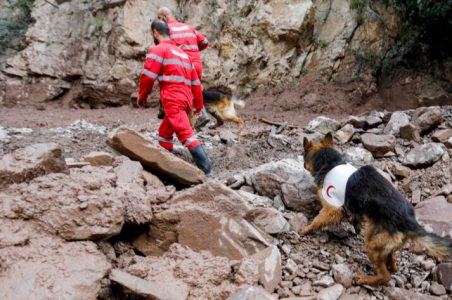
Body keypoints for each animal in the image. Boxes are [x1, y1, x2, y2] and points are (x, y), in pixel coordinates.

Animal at [300, 133, 452, 286]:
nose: (303, 165)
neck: (331, 162)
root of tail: (409, 221)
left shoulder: (332, 207)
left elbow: (318, 221)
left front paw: (305, 229)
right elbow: (355, 218)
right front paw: (356, 227)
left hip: (372, 244)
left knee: (385, 275)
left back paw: (366, 278)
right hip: (385, 245)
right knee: (392, 263)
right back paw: (390, 265)